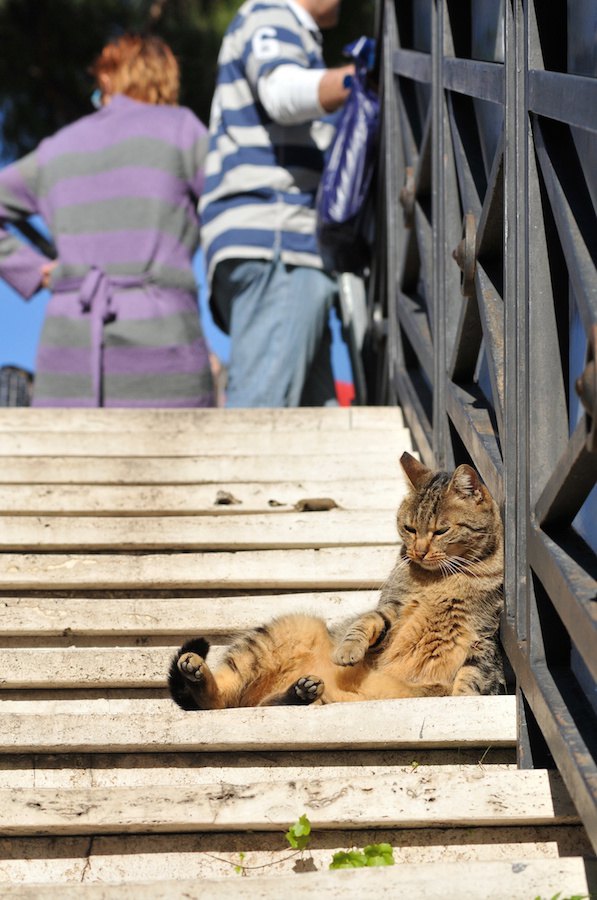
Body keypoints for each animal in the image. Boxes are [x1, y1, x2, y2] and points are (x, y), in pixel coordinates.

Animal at [166, 450, 502, 712]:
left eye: (441, 531)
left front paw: (464, 699)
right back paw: (198, 670)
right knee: (216, 700)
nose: (418, 551)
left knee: (264, 703)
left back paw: (301, 691)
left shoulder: (485, 635)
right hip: (281, 632)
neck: (443, 579)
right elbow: (367, 622)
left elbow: (474, 675)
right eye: (408, 528)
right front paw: (348, 650)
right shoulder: (393, 607)